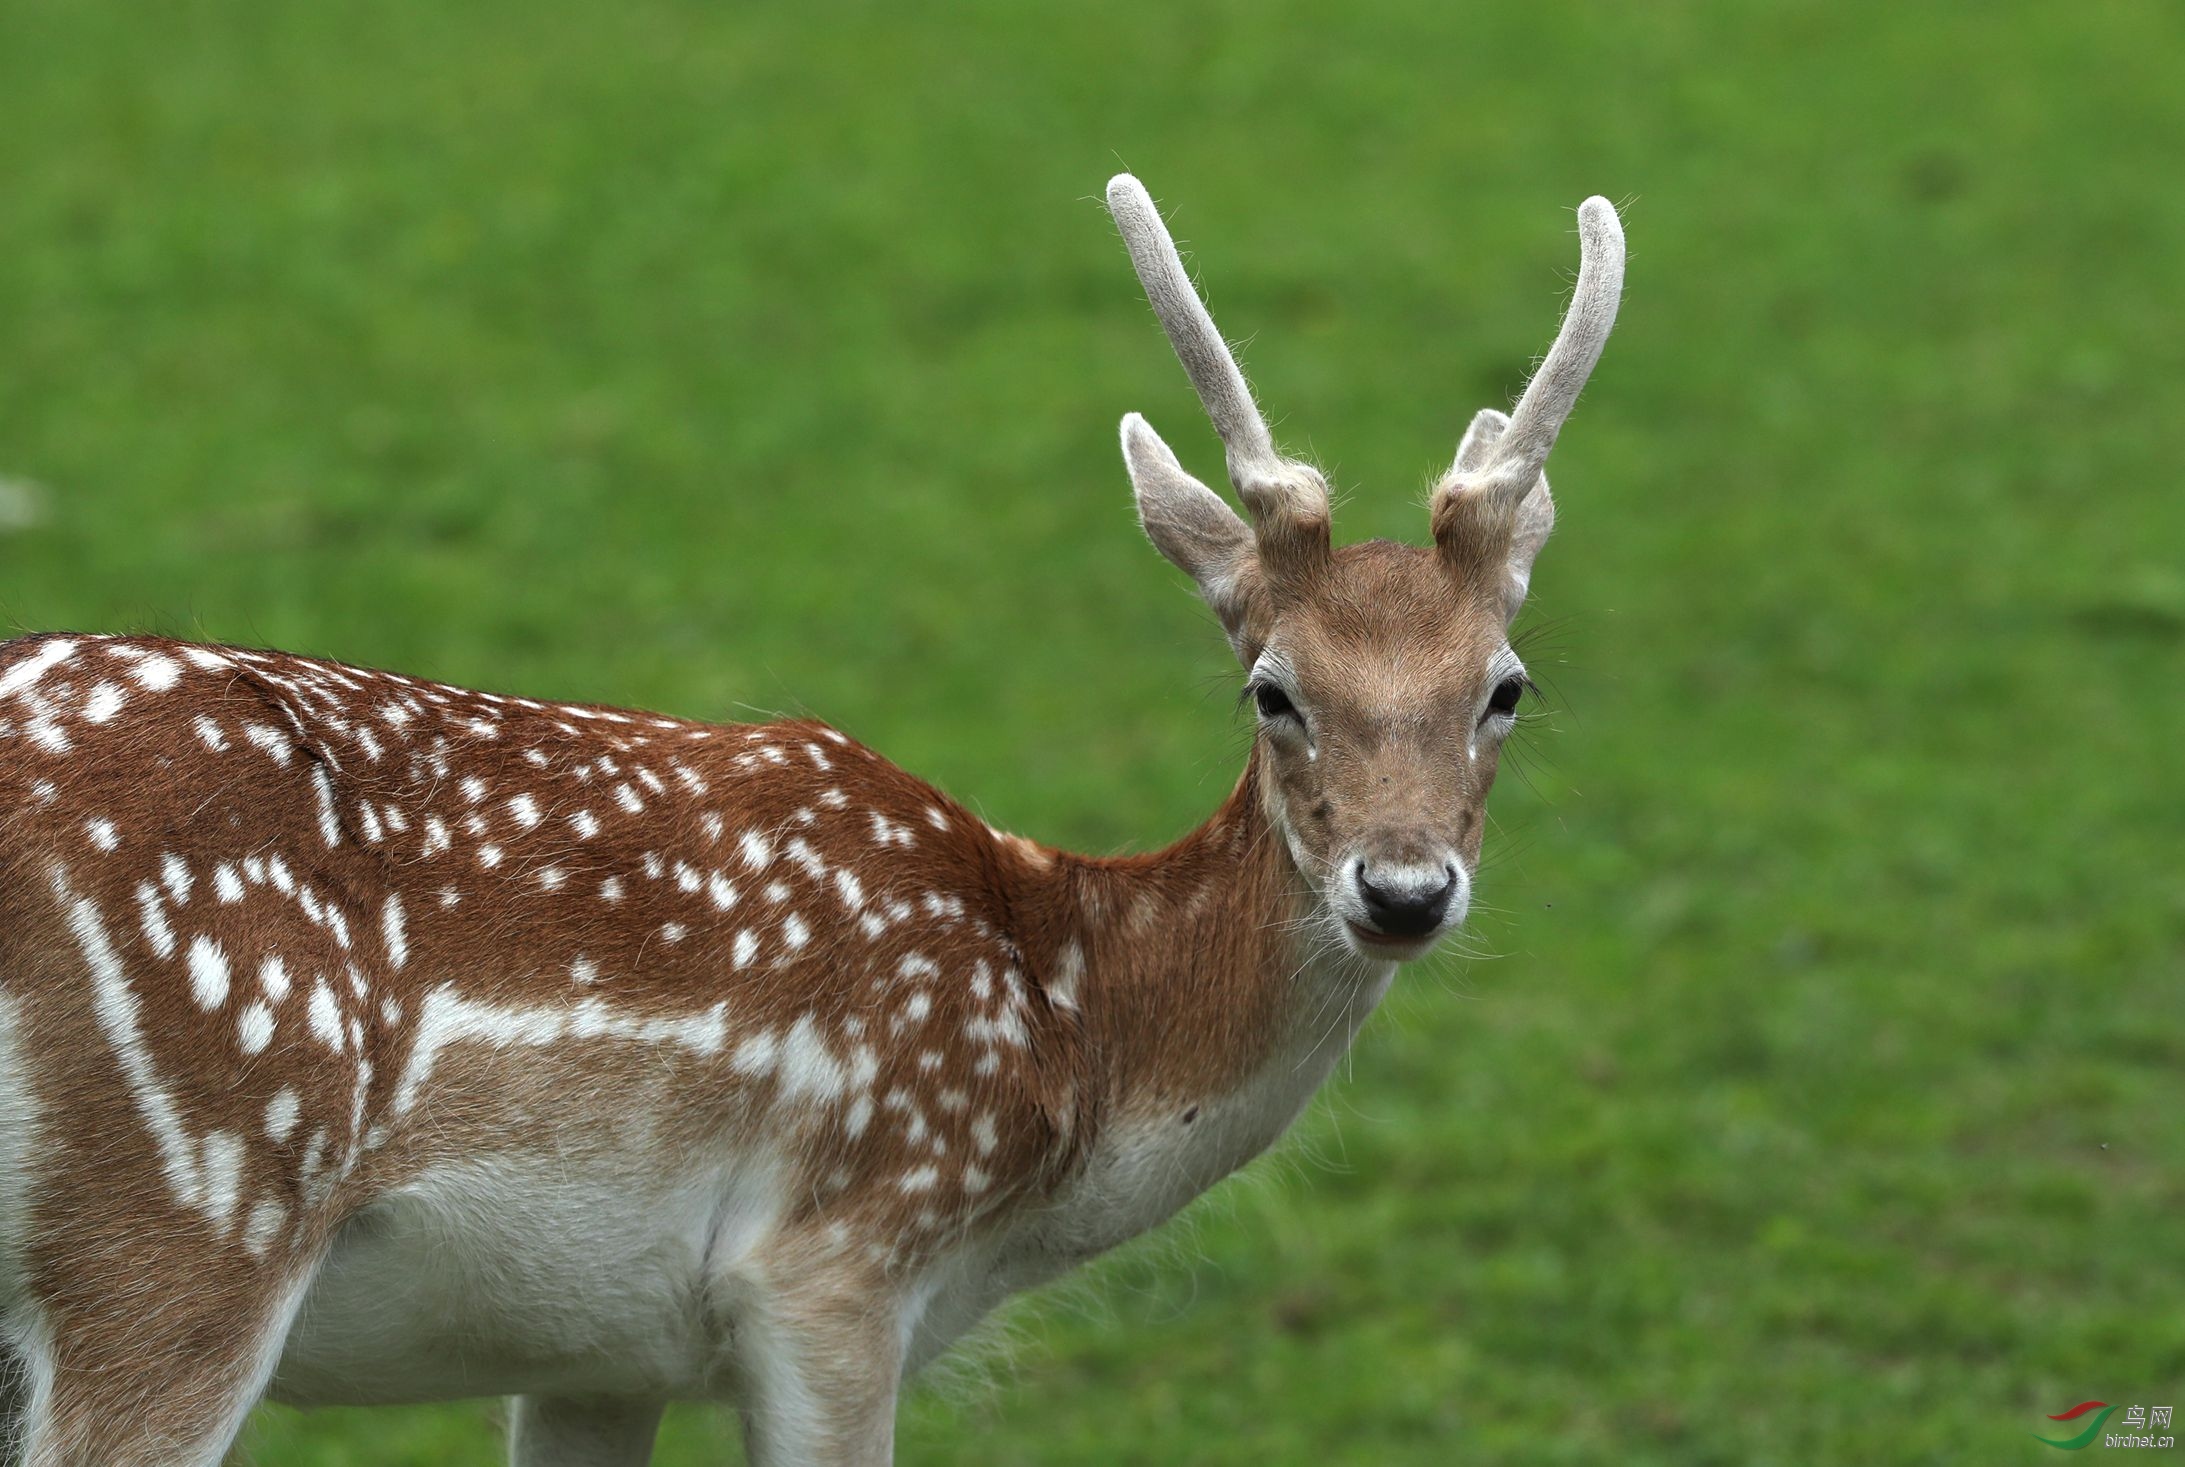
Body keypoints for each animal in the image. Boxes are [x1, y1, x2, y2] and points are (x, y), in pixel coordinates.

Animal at [0, 174, 1625, 1467]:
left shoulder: (593, 1347)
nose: (1402, 887)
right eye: (1271, 689)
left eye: (1505, 686)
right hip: (186, 1215)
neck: (1075, 1039)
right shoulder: (837, 1258)